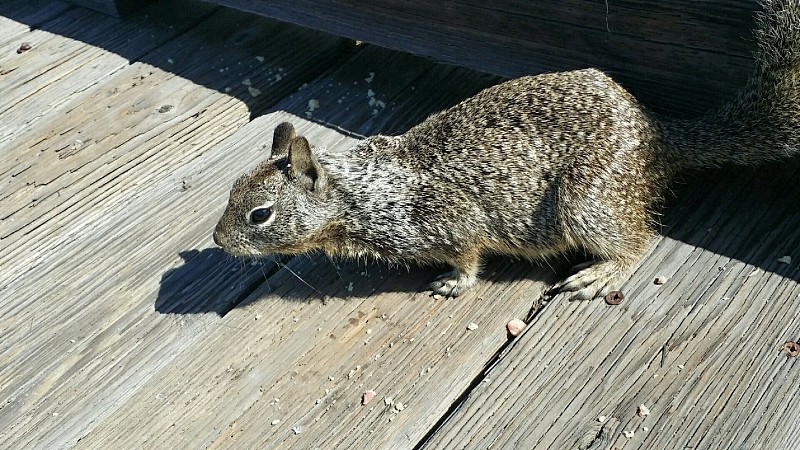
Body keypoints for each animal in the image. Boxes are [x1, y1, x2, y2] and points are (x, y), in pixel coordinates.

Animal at [212, 1, 800, 300]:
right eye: (233, 189)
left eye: (261, 214)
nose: (218, 241)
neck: (364, 193)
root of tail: (657, 133)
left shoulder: (450, 221)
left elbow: (469, 255)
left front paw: (454, 281)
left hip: (590, 201)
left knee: (637, 242)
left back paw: (599, 273)